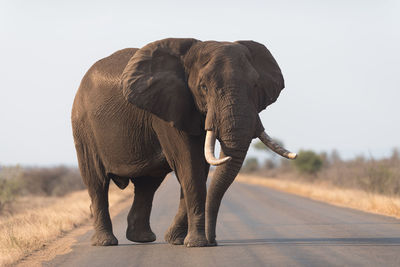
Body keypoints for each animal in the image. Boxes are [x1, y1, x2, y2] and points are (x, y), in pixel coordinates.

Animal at [72, 38, 296, 249]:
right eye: (203, 87)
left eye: (256, 86)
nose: (213, 240)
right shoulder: (167, 108)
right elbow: (189, 165)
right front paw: (197, 243)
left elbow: (197, 169)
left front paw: (178, 240)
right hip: (83, 128)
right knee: (97, 182)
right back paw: (106, 242)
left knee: (147, 185)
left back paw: (142, 238)